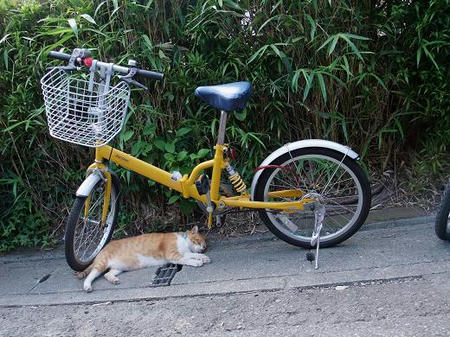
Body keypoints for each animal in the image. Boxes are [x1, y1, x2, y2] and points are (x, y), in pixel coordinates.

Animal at [76, 226, 211, 292]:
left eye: (205, 245)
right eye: (199, 241)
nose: (203, 248)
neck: (183, 240)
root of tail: (101, 249)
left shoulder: (181, 253)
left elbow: (190, 255)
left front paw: (203, 257)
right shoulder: (173, 255)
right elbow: (187, 258)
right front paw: (197, 261)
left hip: (118, 268)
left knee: (107, 274)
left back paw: (114, 280)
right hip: (102, 263)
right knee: (91, 275)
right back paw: (87, 286)